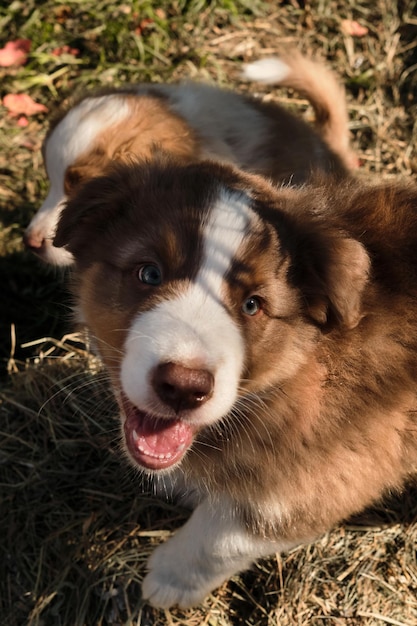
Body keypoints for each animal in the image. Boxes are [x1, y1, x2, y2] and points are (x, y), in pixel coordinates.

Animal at [55, 158, 416, 608]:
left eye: (252, 305)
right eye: (149, 273)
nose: (184, 387)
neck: (303, 371)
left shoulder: (338, 467)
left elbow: (227, 533)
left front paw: (170, 578)